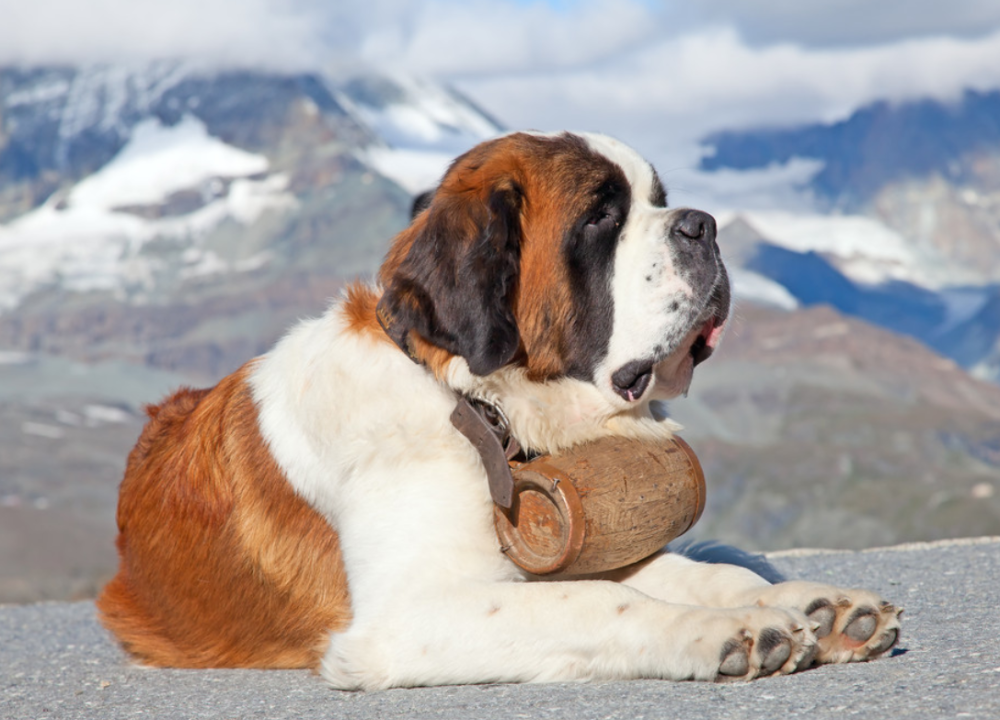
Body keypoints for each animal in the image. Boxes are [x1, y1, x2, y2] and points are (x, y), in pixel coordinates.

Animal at [97, 132, 904, 688]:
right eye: (600, 218)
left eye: (658, 200)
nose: (702, 224)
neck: (478, 405)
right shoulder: (409, 614)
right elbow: (593, 603)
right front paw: (728, 632)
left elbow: (688, 572)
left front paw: (809, 607)